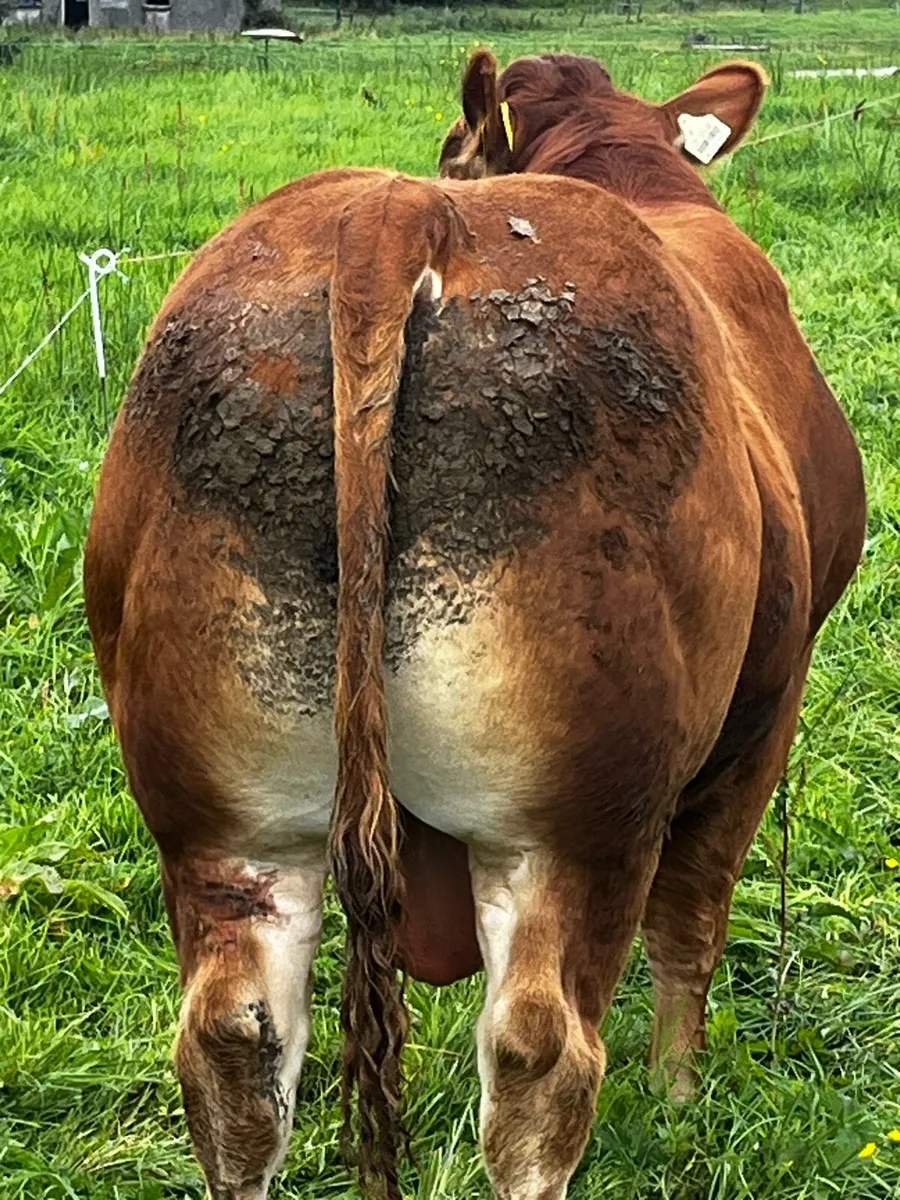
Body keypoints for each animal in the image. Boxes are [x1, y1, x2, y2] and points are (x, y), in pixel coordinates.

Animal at [84, 48, 865, 1200]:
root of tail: (395, 213)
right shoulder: (767, 714)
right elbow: (696, 917)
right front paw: (680, 1098)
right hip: (575, 826)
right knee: (541, 1058)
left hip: (222, 824)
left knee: (235, 1049)